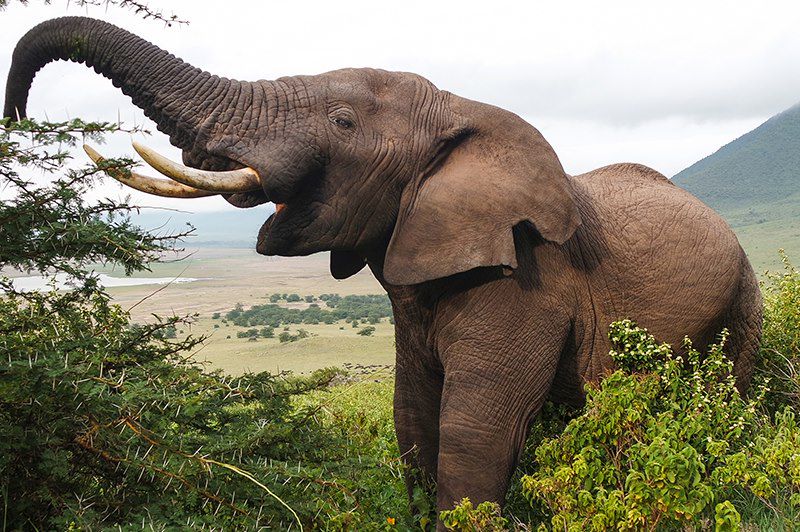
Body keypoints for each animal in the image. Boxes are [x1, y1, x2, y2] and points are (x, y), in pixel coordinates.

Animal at [4, 15, 764, 524]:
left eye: (342, 122)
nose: (17, 117)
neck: (462, 108)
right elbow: (412, 418)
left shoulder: (527, 278)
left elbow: (472, 428)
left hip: (744, 288)